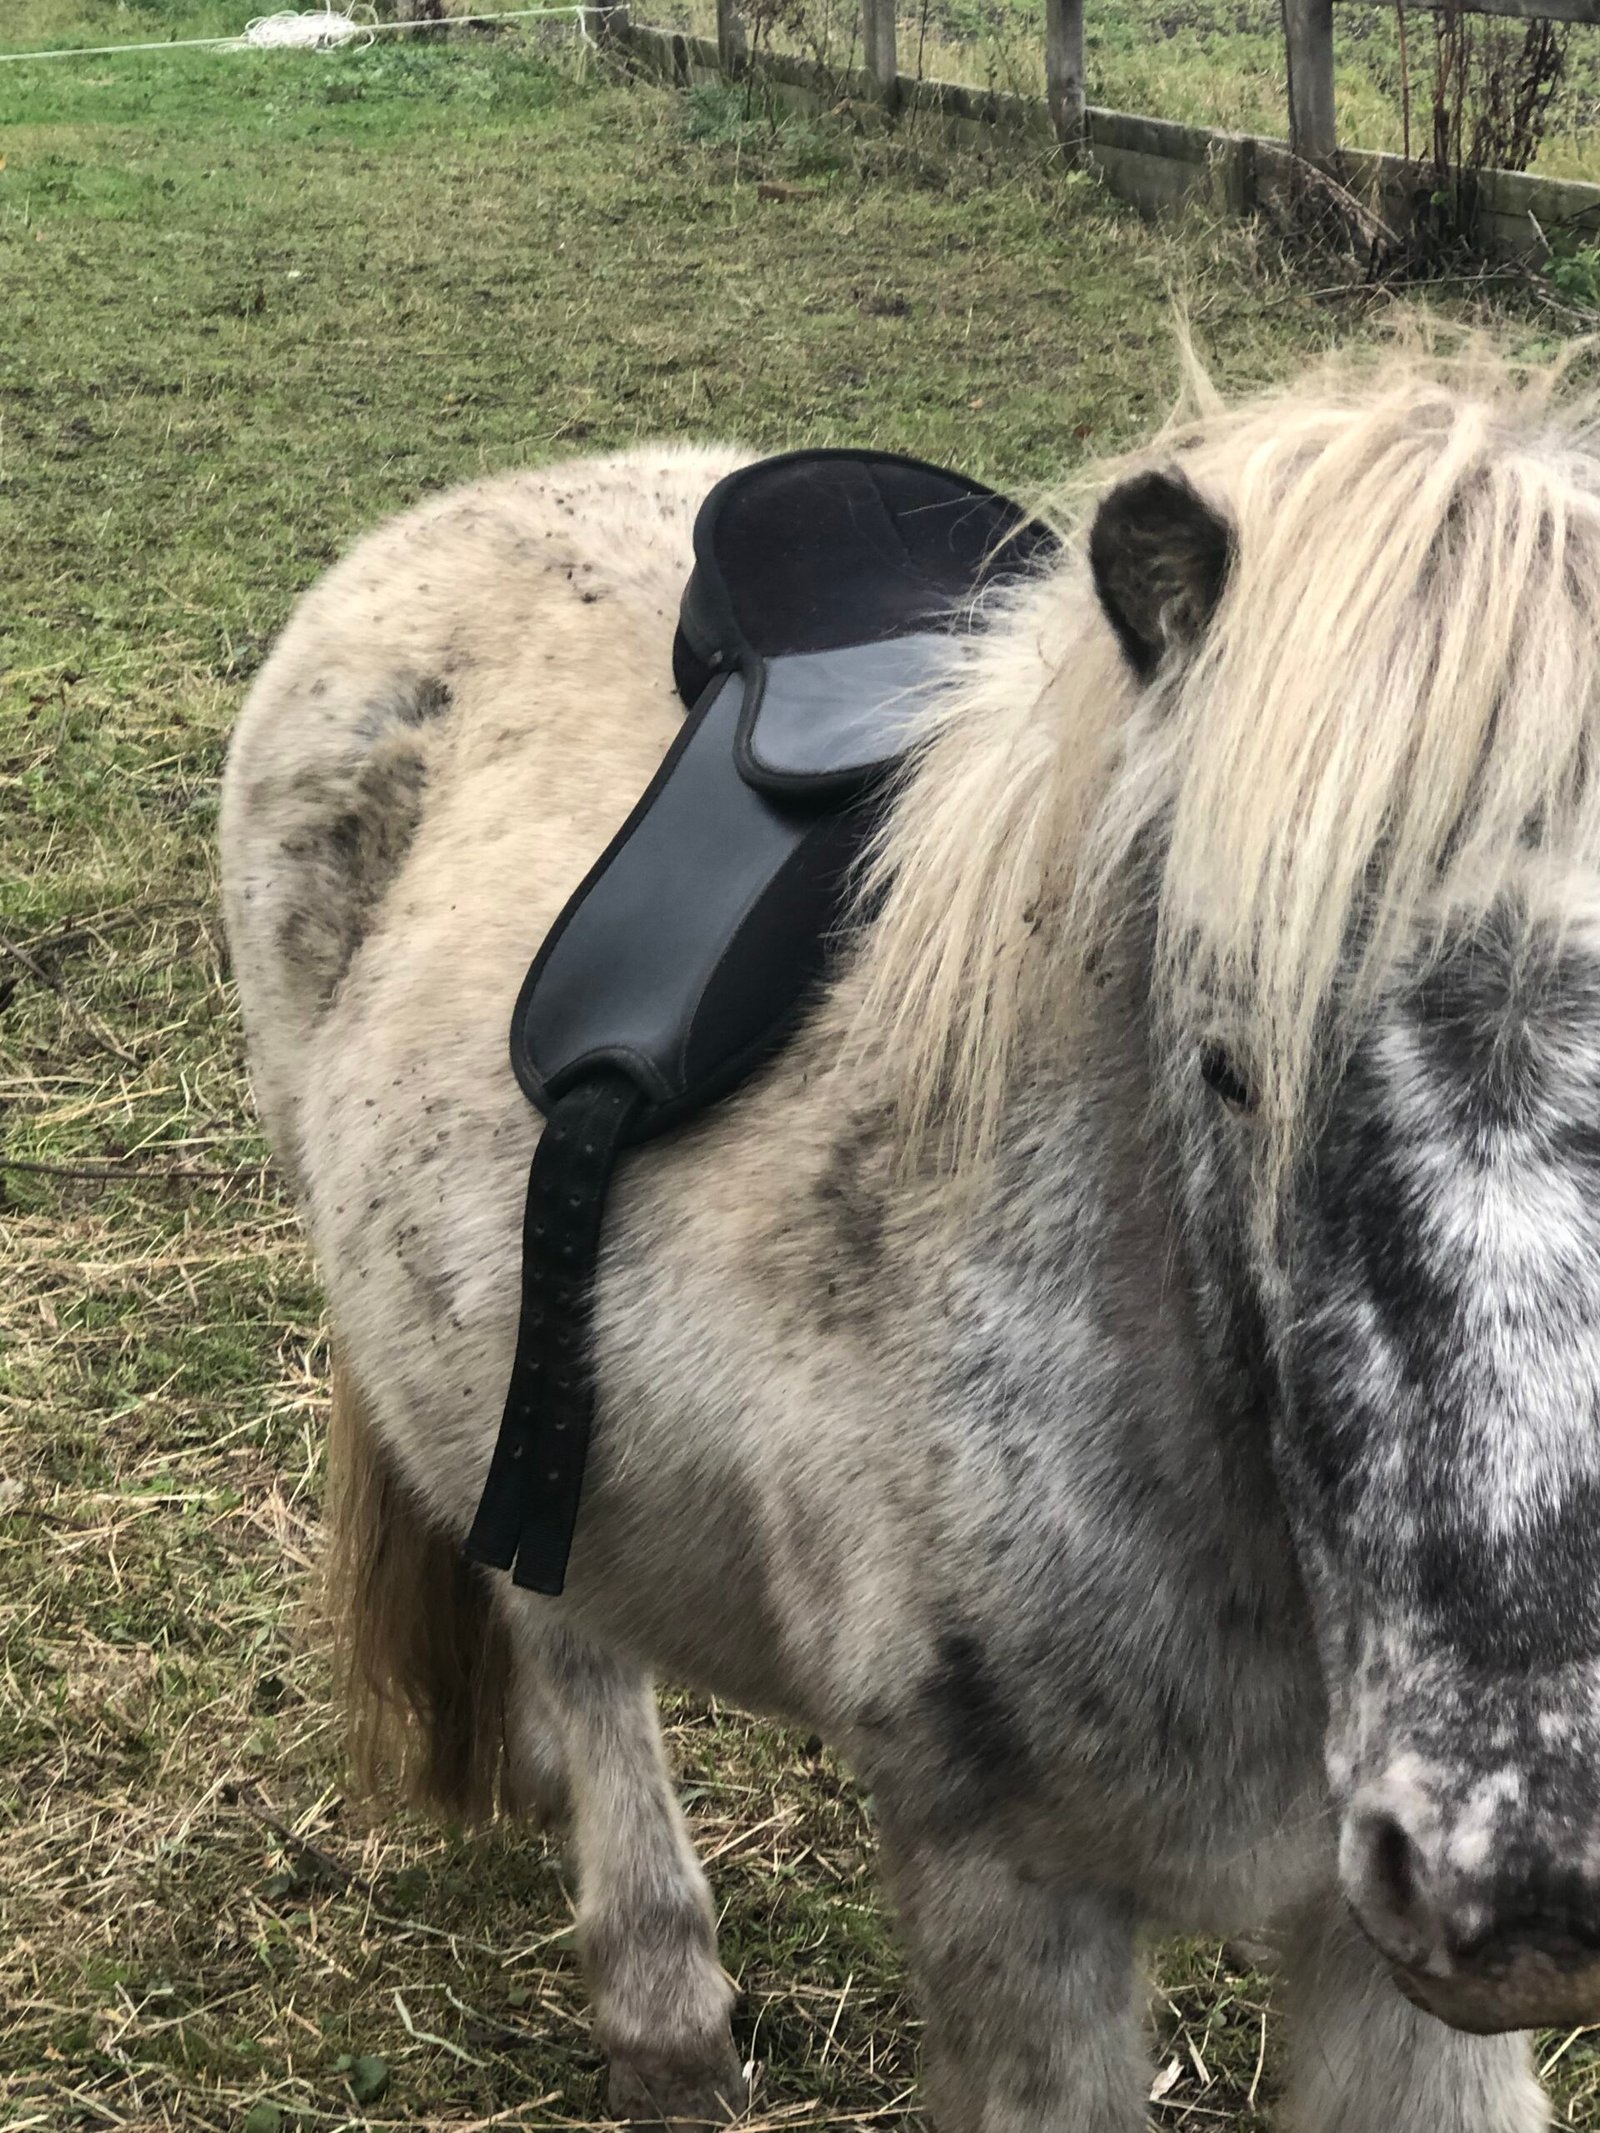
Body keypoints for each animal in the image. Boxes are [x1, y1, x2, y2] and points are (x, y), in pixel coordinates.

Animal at [220, 344, 1600, 2133]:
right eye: (1227, 1064)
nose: (1533, 1882)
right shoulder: (1010, 1897)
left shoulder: (1395, 1973)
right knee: (568, 1635)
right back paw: (662, 2007)